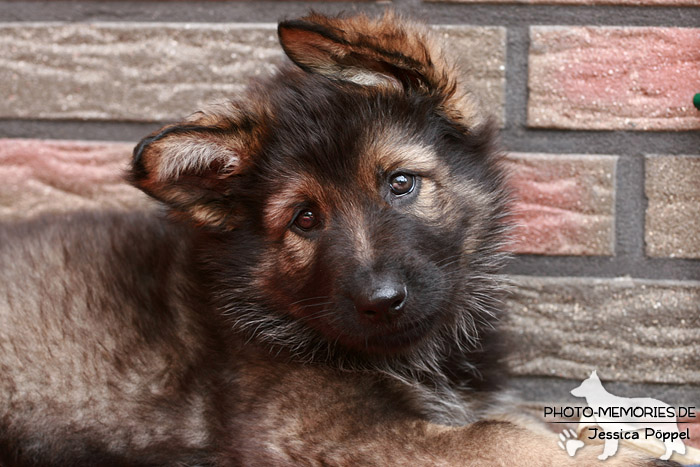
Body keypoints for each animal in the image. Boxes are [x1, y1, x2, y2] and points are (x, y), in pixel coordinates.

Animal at [0, 11, 672, 467]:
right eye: (304, 218)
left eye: (400, 183)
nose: (382, 301)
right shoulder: (326, 436)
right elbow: (506, 437)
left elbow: (538, 421)